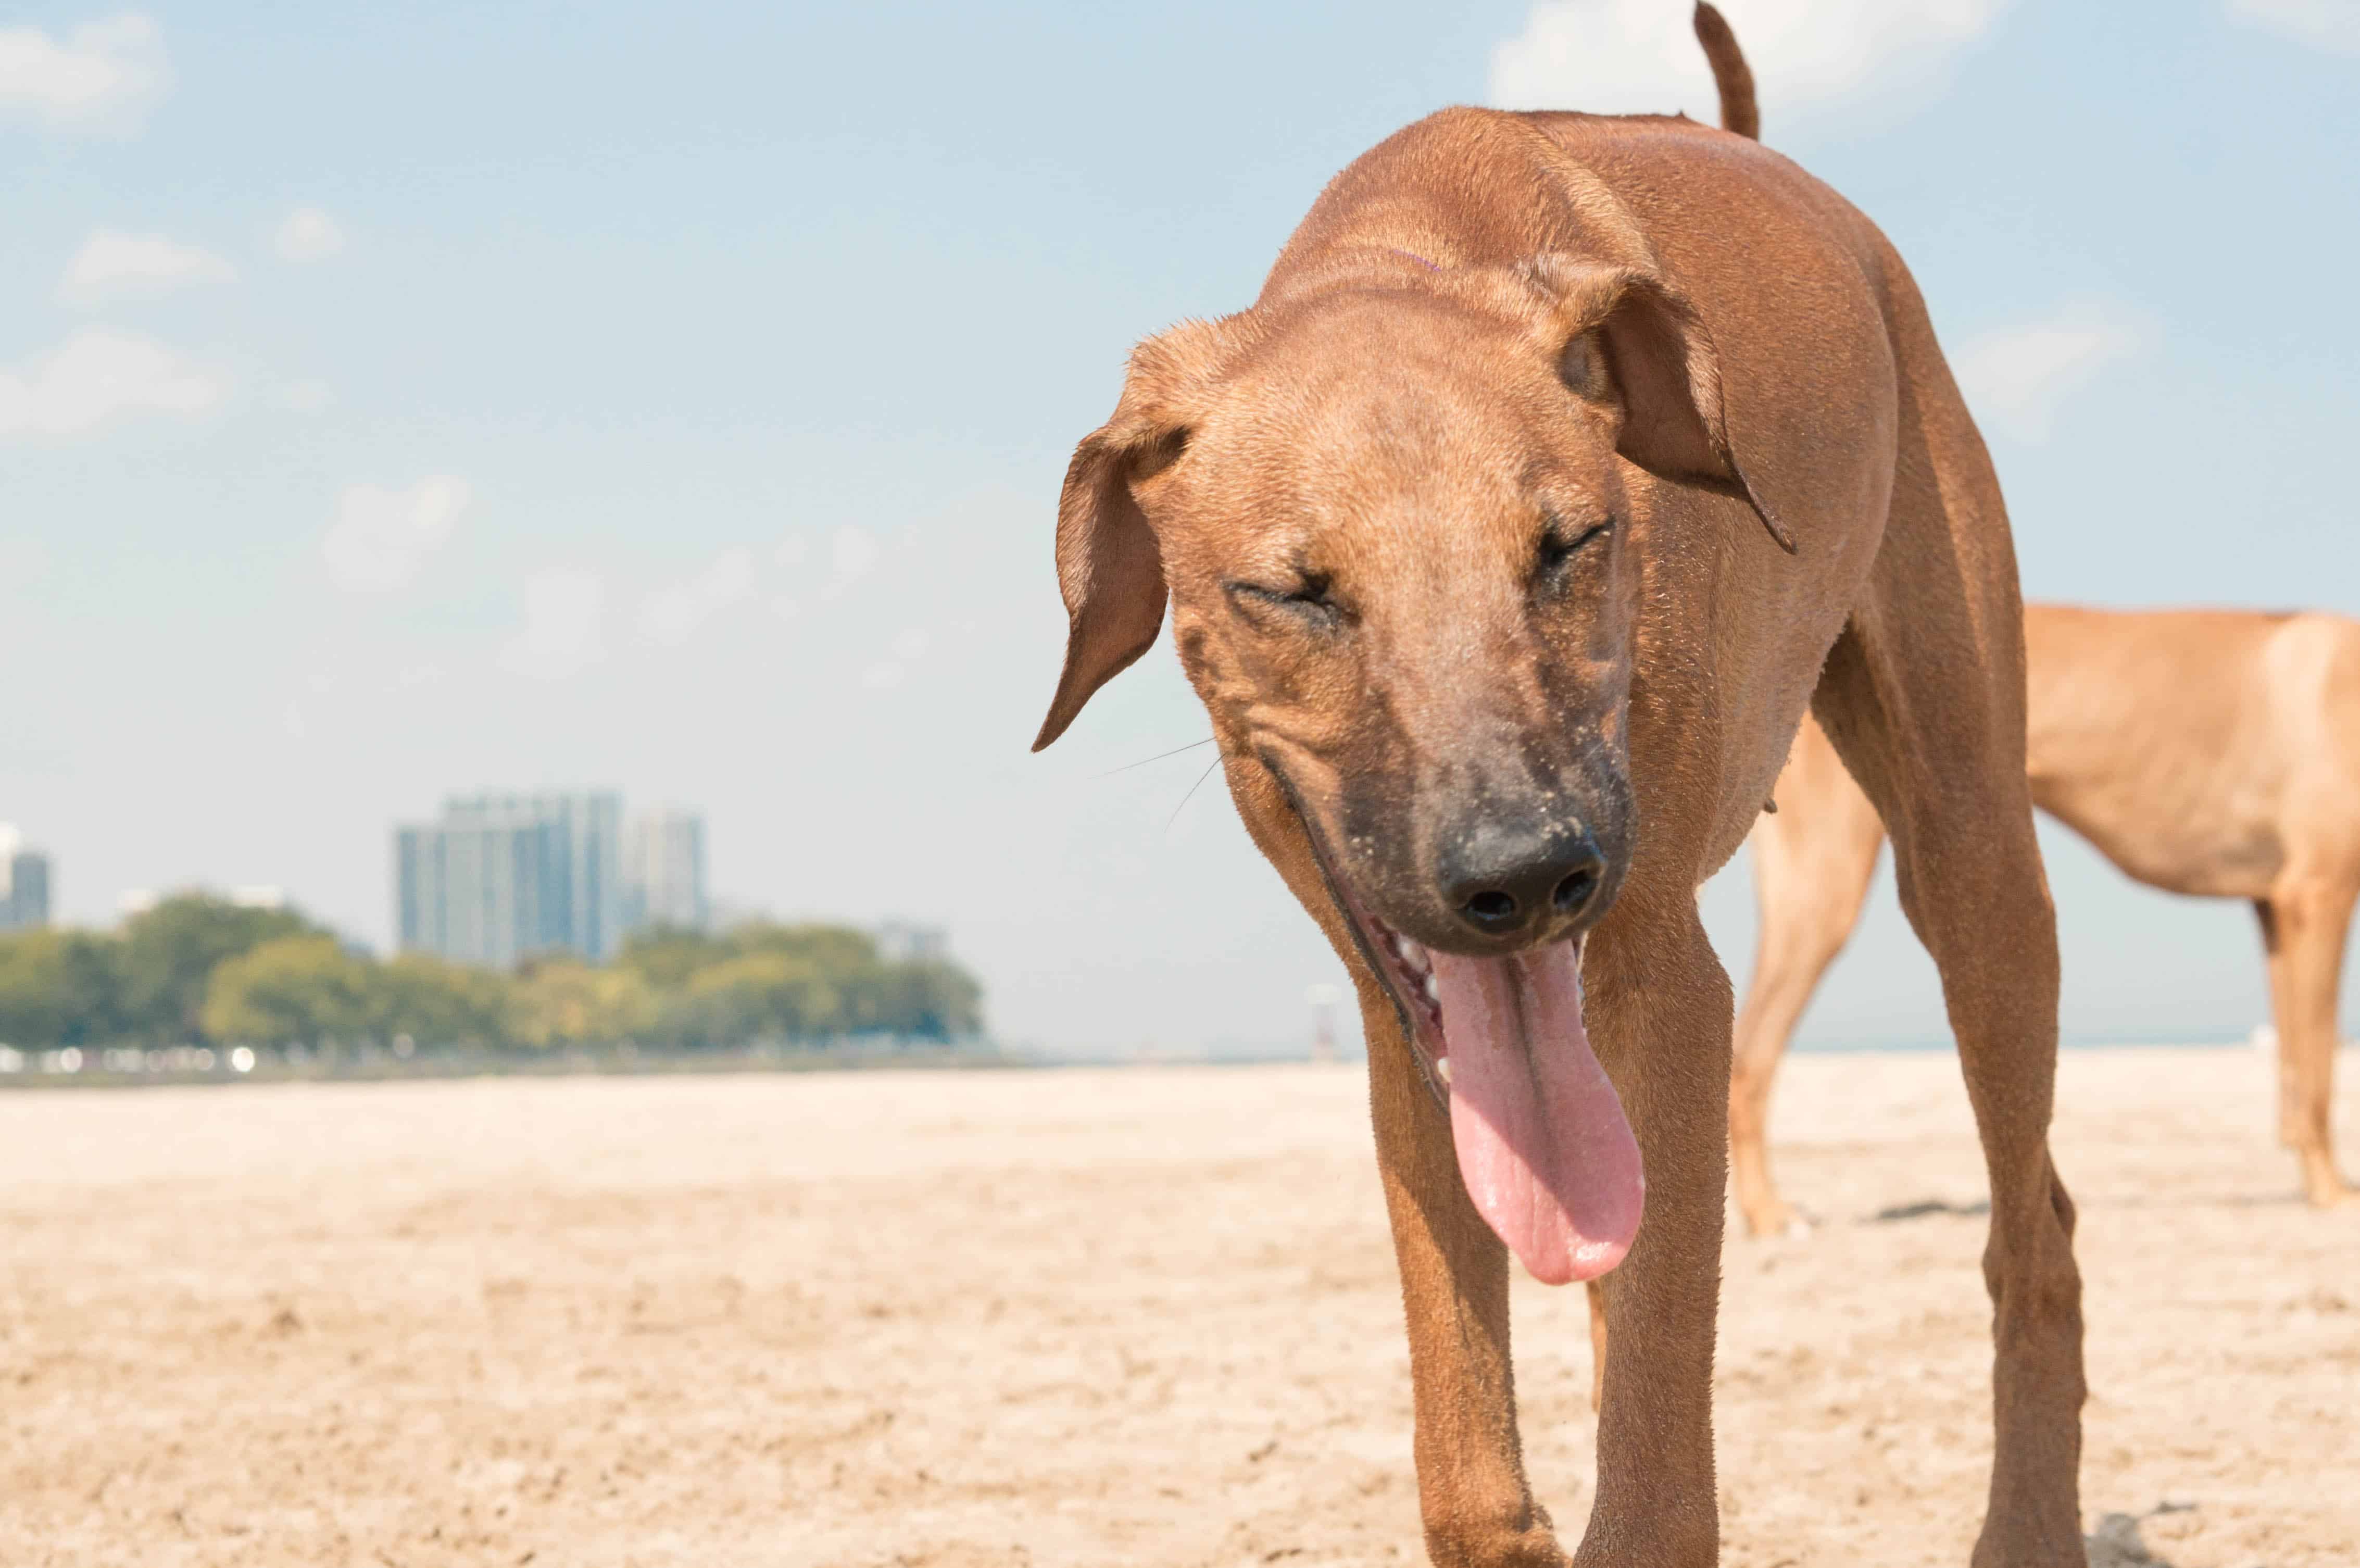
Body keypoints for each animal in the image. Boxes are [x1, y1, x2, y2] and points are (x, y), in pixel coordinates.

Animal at [1038, 6, 2086, 1558]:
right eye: (1294, 594)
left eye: (1567, 544)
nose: (1523, 873)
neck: (1403, 246)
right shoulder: (1405, 1038)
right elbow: (1473, 1464)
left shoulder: (1664, 977)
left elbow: (1650, 1481)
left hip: (1970, 852)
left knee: (2035, 1237)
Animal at [1727, 602, 2360, 1237]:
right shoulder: (2318, 895)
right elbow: (2319, 1067)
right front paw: (2333, 1191)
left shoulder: (2274, 910)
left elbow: (2293, 1066)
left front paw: (2313, 1181)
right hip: (1823, 894)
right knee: (1749, 1059)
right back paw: (1769, 1213)